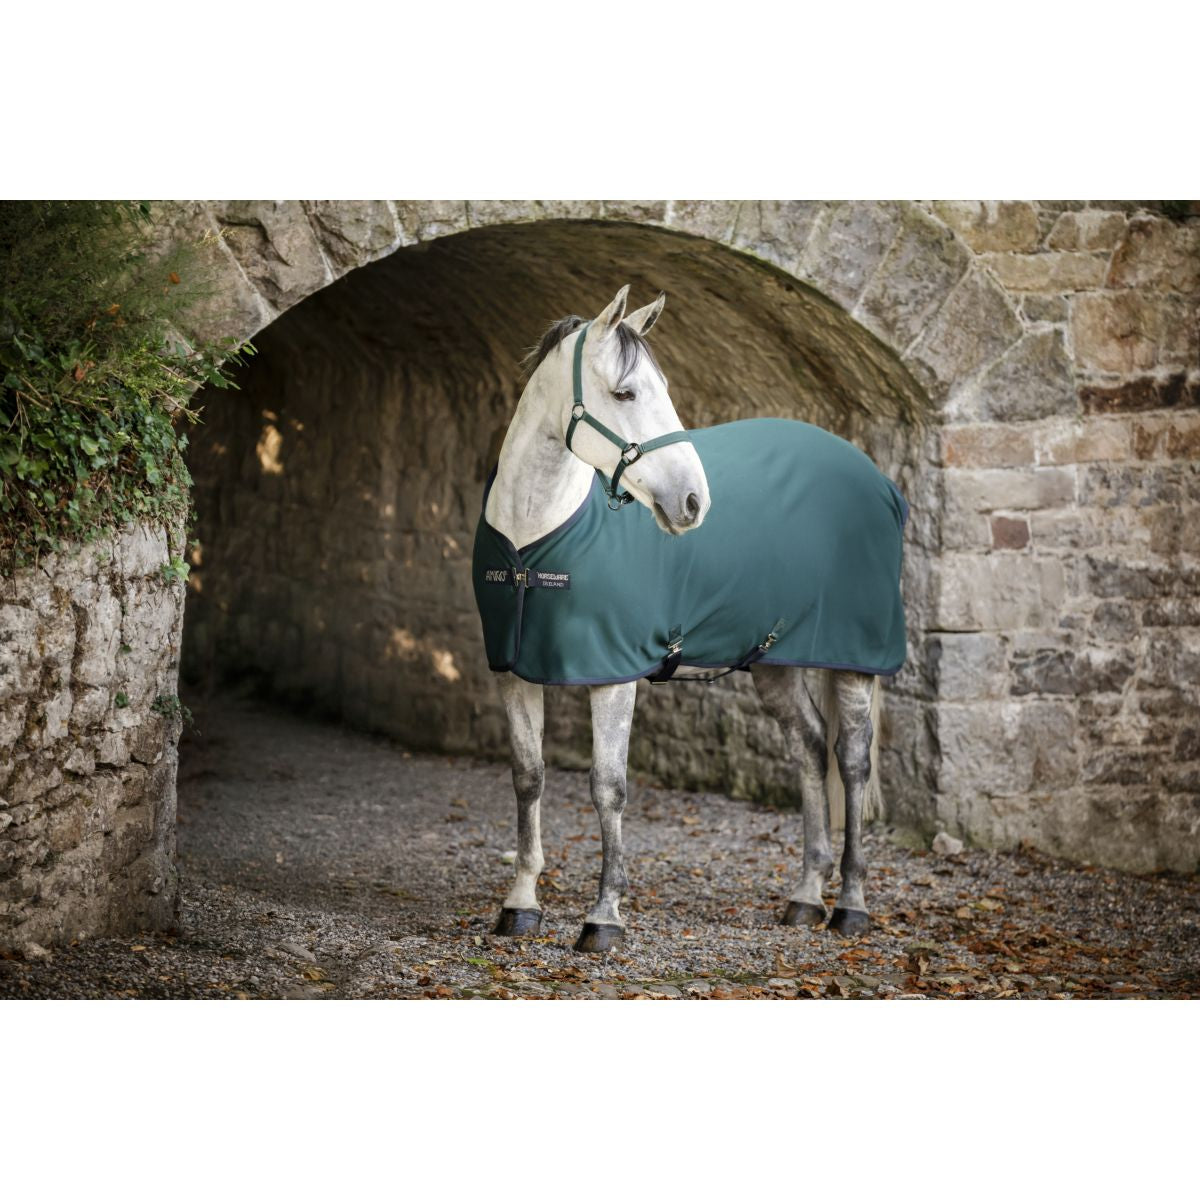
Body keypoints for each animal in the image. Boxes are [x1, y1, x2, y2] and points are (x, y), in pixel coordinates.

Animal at [473, 285, 906, 952]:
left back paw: (851, 905)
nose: (694, 503)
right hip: (775, 661)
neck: (534, 539)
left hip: (854, 661)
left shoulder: (613, 676)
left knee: (852, 761)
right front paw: (520, 904)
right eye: (626, 393)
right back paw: (806, 896)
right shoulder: (514, 672)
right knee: (809, 749)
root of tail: (878, 480)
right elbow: (528, 778)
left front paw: (604, 916)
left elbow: (608, 787)